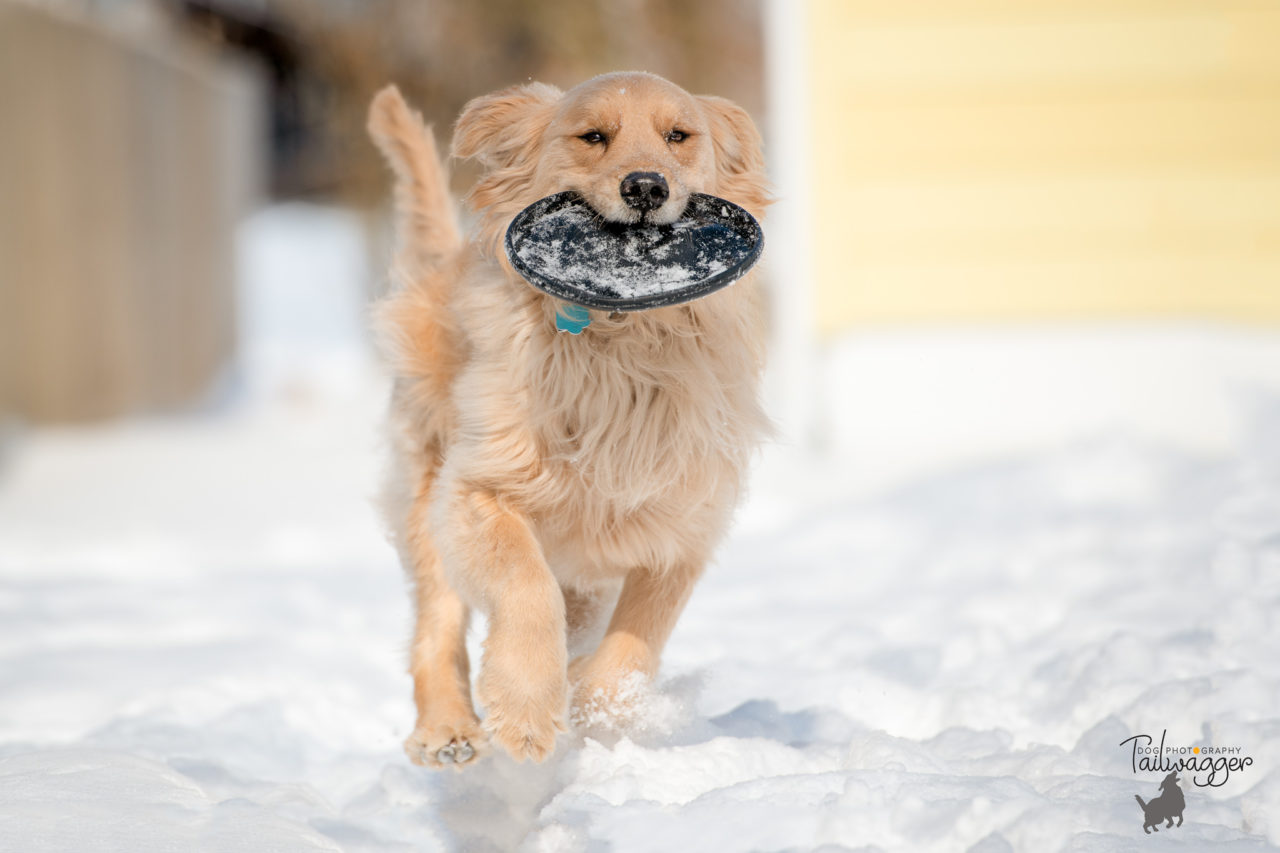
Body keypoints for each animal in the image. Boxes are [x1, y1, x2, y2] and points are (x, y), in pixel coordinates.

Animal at [368, 71, 768, 763]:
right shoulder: (478, 488)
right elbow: (527, 587)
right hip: (426, 492)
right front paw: (527, 708)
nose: (645, 186)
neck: (620, 344)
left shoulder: (683, 529)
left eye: (679, 136)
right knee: (437, 625)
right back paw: (448, 729)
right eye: (593, 136)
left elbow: (633, 648)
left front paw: (590, 707)